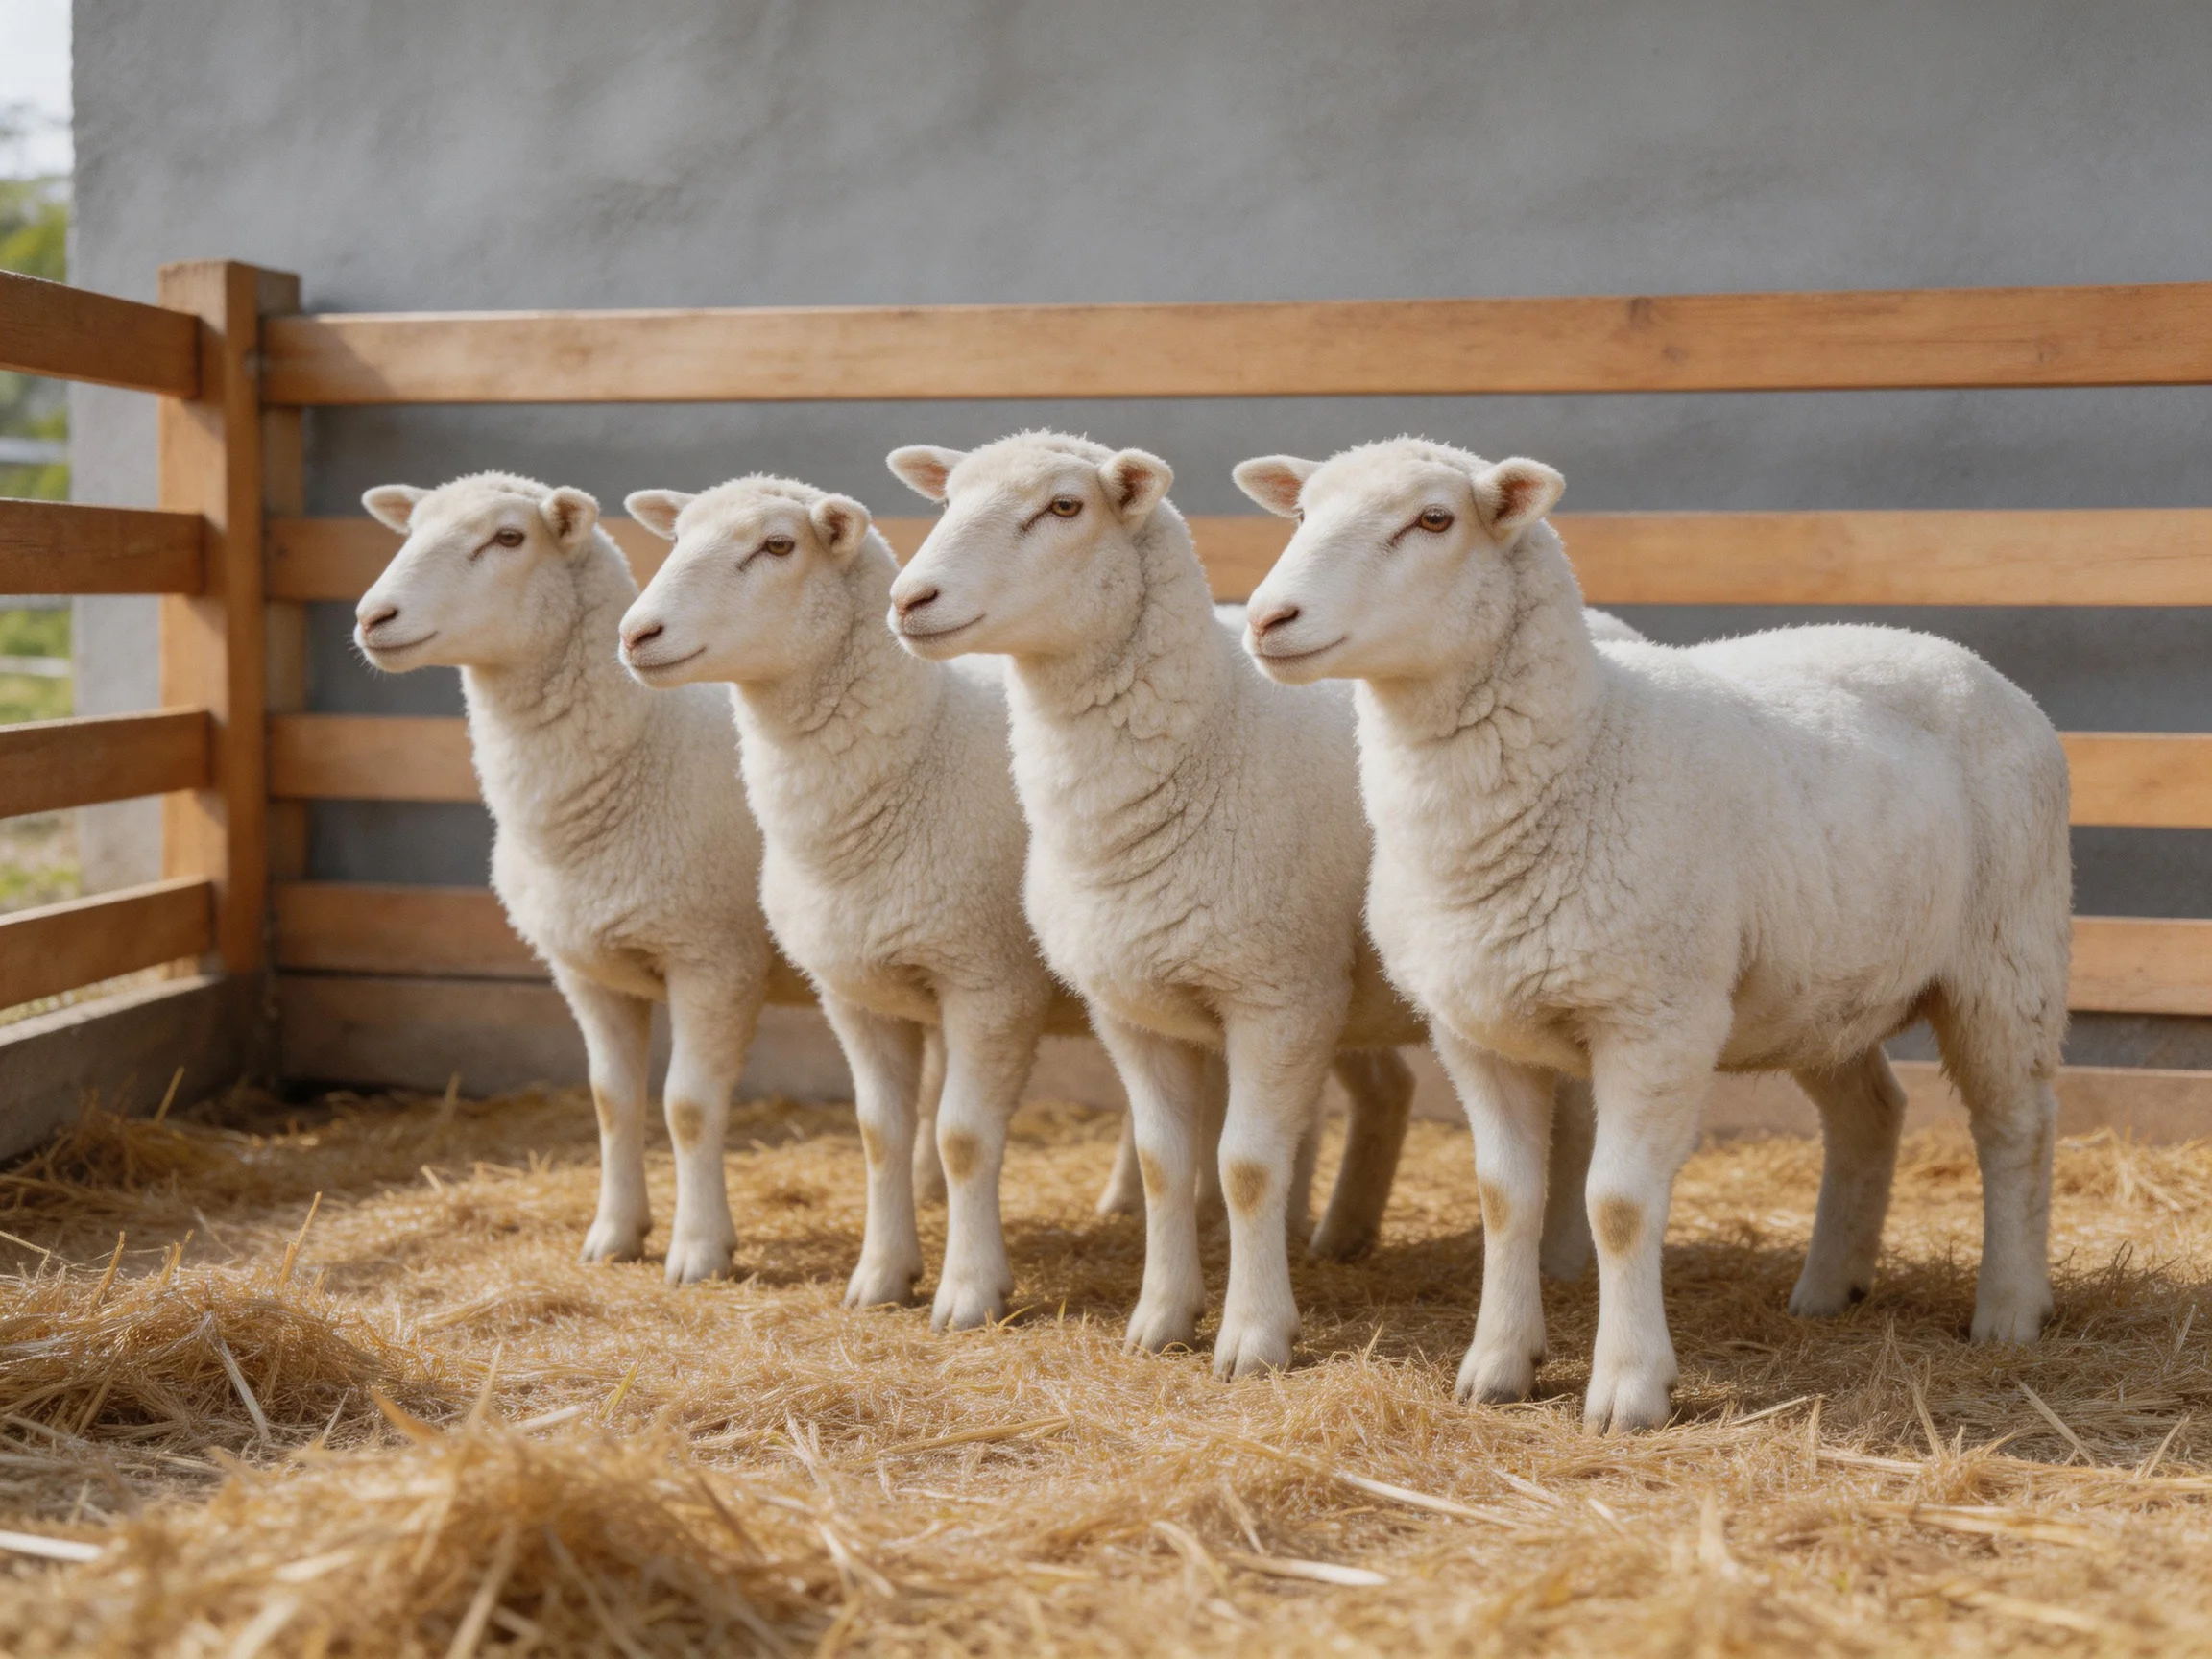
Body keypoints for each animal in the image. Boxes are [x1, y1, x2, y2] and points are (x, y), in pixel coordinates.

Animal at [355, 472, 773, 1285]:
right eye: (409, 530)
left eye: (509, 537)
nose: (372, 617)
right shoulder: (587, 967)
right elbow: (613, 1099)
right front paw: (615, 1234)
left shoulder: (715, 958)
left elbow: (688, 1106)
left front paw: (699, 1249)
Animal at [615, 474, 1063, 1329]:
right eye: (677, 538)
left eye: (777, 545)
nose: (636, 633)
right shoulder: (856, 990)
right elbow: (880, 1132)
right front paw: (883, 1276)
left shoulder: (994, 982)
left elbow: (963, 1137)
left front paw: (969, 1291)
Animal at [881, 431, 1437, 1379]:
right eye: (946, 500)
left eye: (1065, 506)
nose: (910, 599)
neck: (1215, 735)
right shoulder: (1135, 1007)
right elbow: (1163, 1164)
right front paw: (1163, 1319)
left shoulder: (1279, 995)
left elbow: (1245, 1166)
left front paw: (1254, 1337)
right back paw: (1342, 1235)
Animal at [1234, 437, 2071, 1430]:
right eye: (1299, 514)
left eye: (1434, 519)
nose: (1267, 618)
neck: (1588, 747)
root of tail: (1955, 653)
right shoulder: (1474, 1029)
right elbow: (1505, 1199)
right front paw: (1497, 1366)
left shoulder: (1656, 1018)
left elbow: (1619, 1205)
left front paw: (1630, 1388)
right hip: (1821, 986)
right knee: (1871, 1112)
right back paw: (1828, 1288)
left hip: (2008, 955)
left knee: (2016, 1126)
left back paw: (2011, 1311)